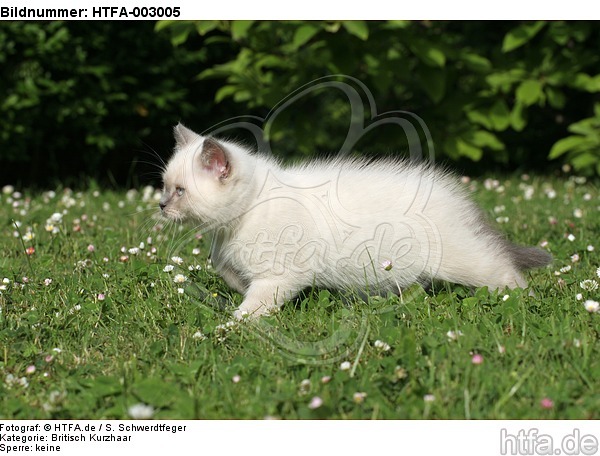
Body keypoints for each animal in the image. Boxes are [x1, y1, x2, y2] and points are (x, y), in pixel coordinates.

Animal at [161, 123, 552, 318]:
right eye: (164, 186)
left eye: (180, 191)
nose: (162, 205)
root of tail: (460, 201)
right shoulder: (231, 256)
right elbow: (231, 274)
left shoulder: (280, 274)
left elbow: (256, 303)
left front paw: (234, 325)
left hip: (460, 257)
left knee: (502, 269)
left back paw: (525, 300)